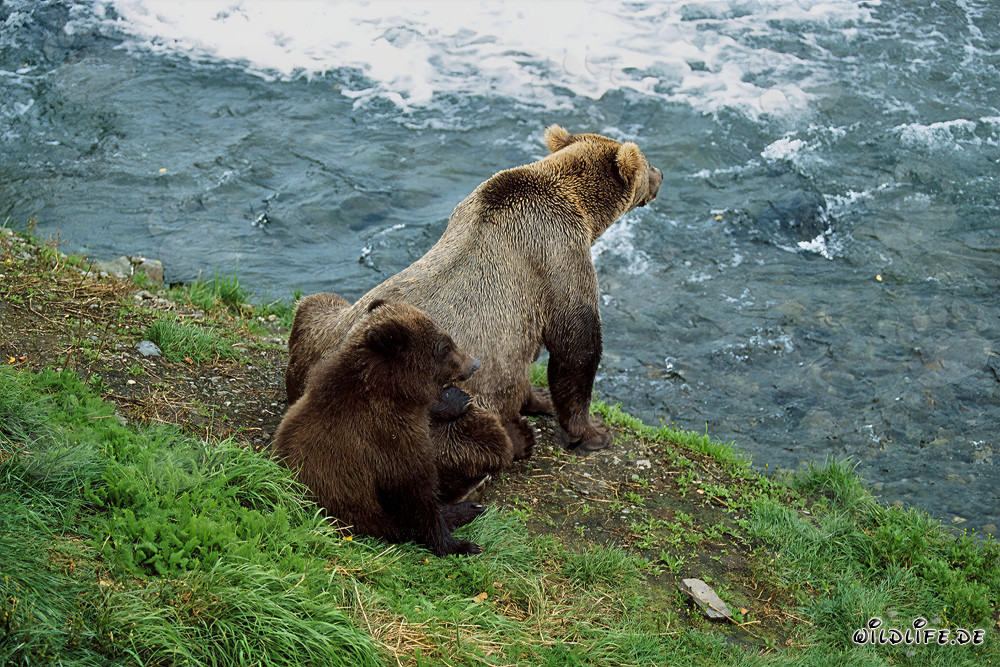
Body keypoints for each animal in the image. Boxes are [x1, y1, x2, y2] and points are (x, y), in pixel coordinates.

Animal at [273, 299, 504, 556]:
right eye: (445, 347)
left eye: (449, 338)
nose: (475, 364)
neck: (393, 391)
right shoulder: (387, 440)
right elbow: (416, 496)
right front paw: (460, 544)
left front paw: (455, 398)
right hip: (356, 511)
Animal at [286, 124, 662, 455]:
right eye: (646, 164)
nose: (660, 175)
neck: (580, 208)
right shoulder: (557, 255)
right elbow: (576, 346)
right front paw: (592, 432)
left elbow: (526, 360)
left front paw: (538, 397)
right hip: (431, 408)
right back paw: (518, 437)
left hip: (322, 323)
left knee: (313, 303)